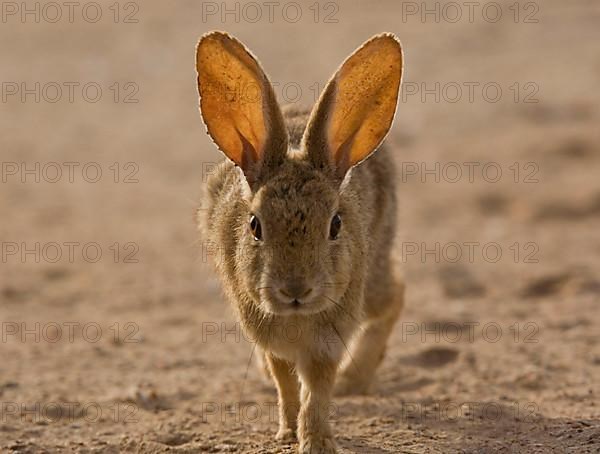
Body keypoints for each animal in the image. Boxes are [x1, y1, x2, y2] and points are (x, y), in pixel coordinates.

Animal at [195, 31, 406, 454]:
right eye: (255, 225)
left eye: (335, 225)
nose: (295, 290)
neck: (295, 318)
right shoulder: (269, 335)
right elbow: (285, 383)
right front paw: (287, 432)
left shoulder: (329, 338)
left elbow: (318, 390)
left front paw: (317, 441)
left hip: (372, 278)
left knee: (395, 295)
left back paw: (356, 378)